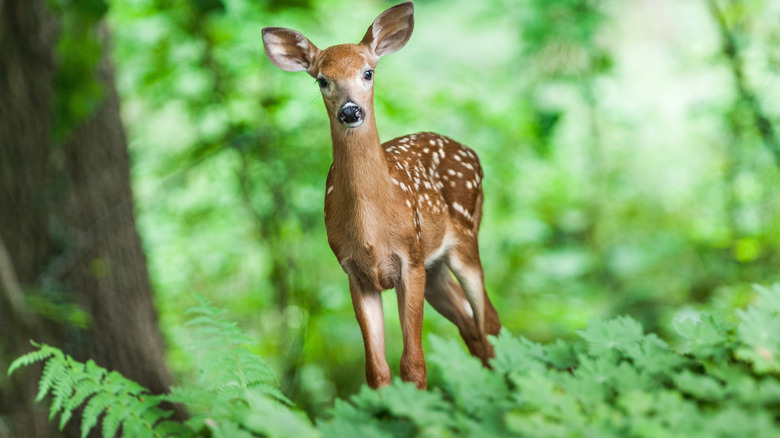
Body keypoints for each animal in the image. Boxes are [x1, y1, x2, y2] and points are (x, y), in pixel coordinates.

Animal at [264, 1, 500, 388]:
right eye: (322, 80)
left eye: (368, 73)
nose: (350, 110)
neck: (372, 230)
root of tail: (472, 152)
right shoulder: (355, 273)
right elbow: (376, 370)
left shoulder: (410, 260)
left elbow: (414, 364)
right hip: (435, 267)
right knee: (471, 327)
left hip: (464, 239)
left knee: (489, 321)